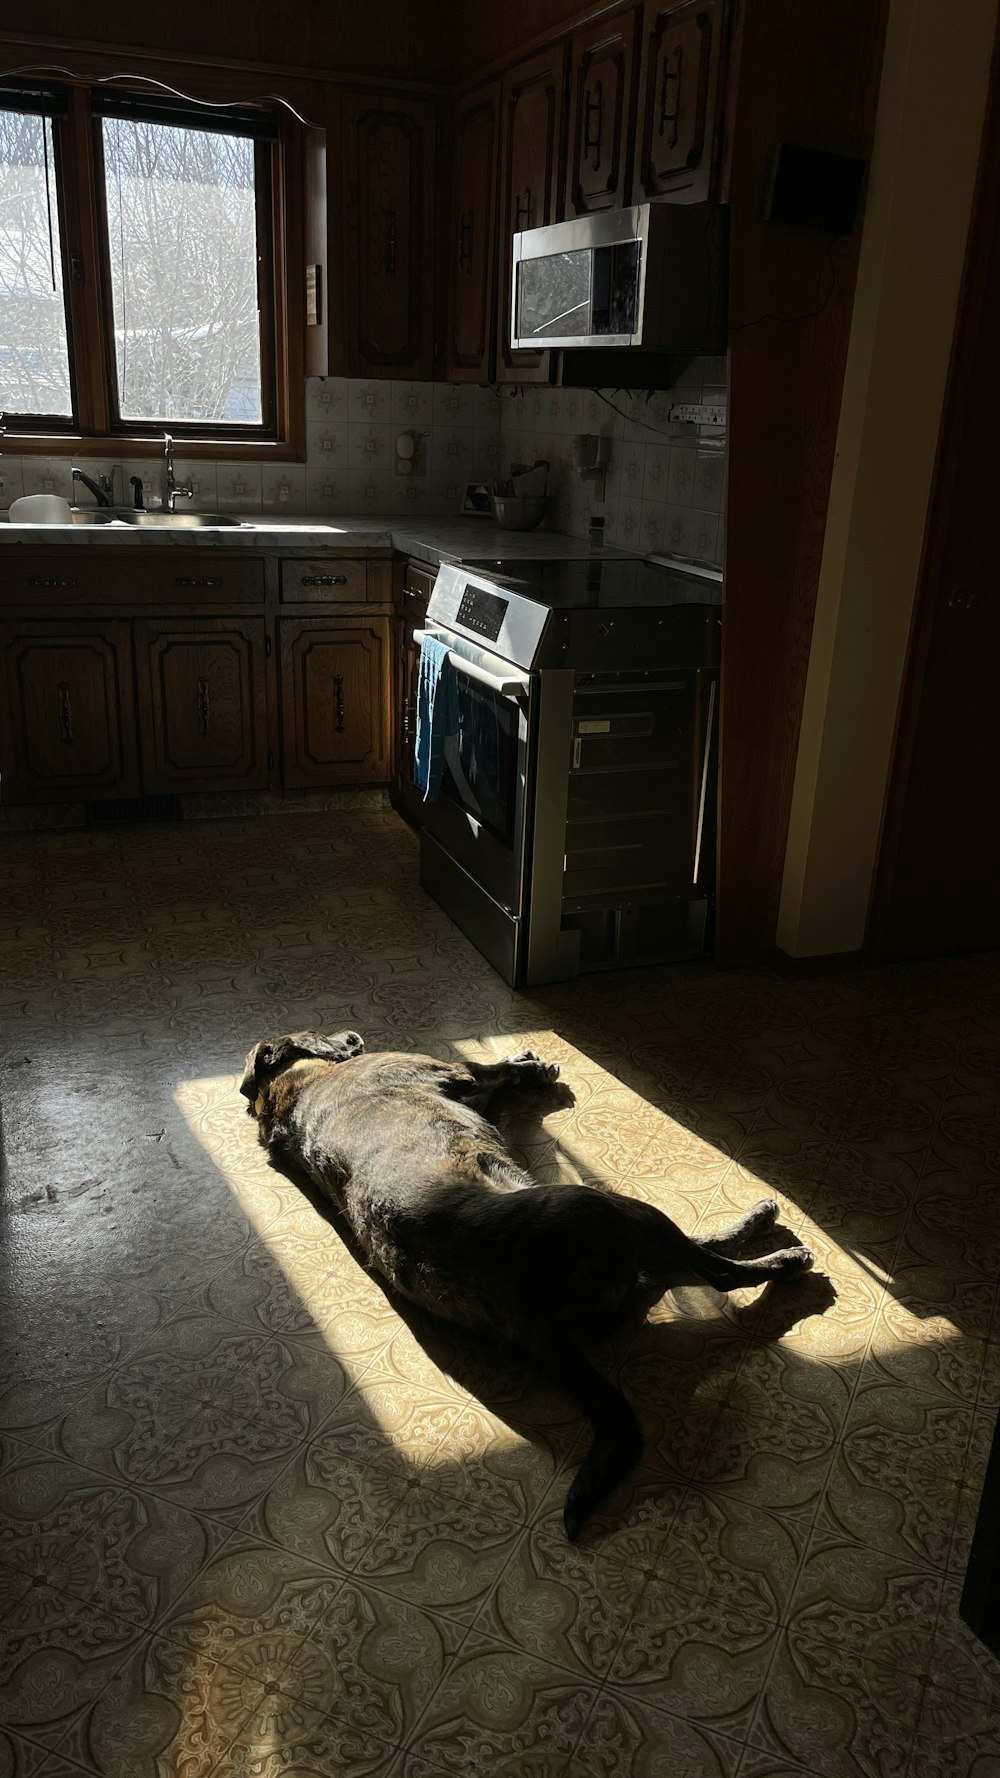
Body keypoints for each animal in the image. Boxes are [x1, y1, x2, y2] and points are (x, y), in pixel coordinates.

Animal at [240, 1038, 811, 1536]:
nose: (353, 1038)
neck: (293, 1094)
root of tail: (533, 1323)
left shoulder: (471, 1098)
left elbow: (496, 1085)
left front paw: (526, 1064)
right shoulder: (454, 1073)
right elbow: (483, 1068)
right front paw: (529, 1065)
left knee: (687, 1263)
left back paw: (755, 1225)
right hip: (607, 1208)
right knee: (717, 1272)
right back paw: (782, 1256)